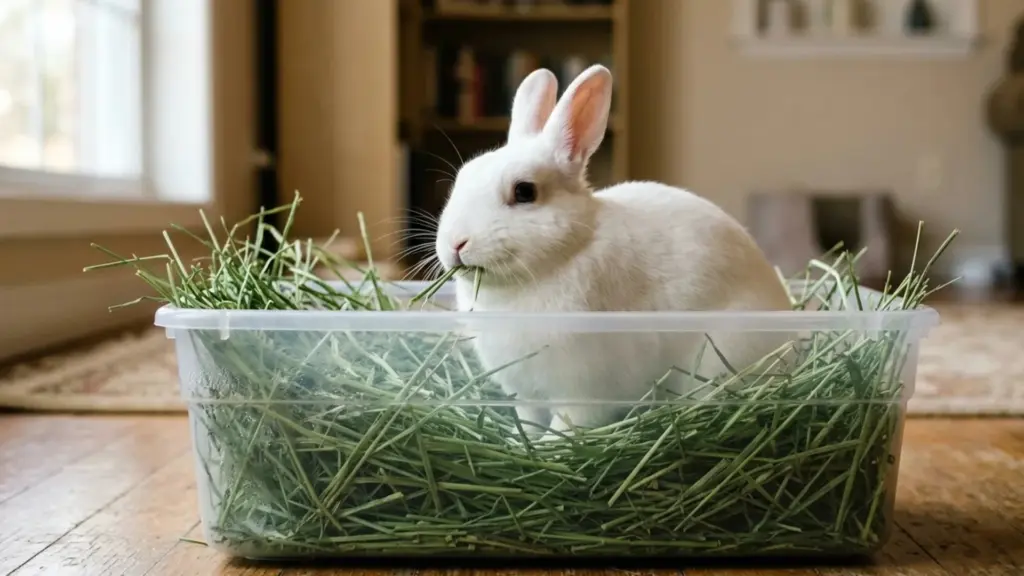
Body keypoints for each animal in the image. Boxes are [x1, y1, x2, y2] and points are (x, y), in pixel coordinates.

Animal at [433, 64, 794, 438]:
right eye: (462, 177)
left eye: (524, 192)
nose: (455, 244)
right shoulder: (526, 395)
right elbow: (529, 423)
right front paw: (519, 443)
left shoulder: (581, 394)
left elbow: (563, 428)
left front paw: (547, 446)